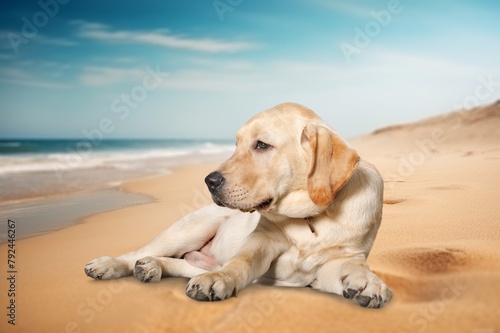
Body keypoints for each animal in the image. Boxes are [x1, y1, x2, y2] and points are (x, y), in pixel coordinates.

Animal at [84, 102, 392, 308]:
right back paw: (110, 265)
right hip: (191, 228)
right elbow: (240, 263)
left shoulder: (335, 263)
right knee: (138, 252)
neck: (311, 218)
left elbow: (355, 267)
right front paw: (221, 279)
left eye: (262, 145)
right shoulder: (261, 242)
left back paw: (152, 267)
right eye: (236, 145)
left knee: (180, 265)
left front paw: (369, 282)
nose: (209, 181)